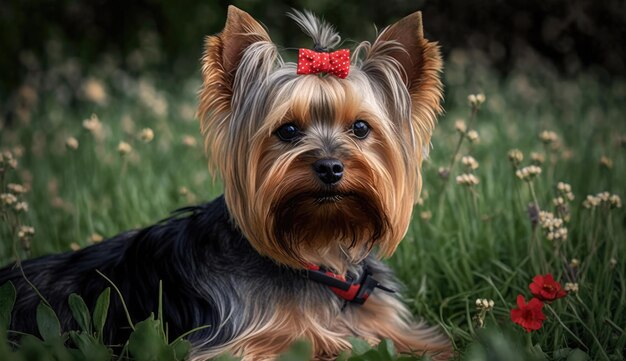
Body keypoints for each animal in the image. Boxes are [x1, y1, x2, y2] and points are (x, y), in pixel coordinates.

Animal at [0, 6, 448, 360]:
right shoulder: (238, 345)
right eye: (287, 130)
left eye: (360, 128)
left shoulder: (391, 326)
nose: (330, 167)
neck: (315, 251)